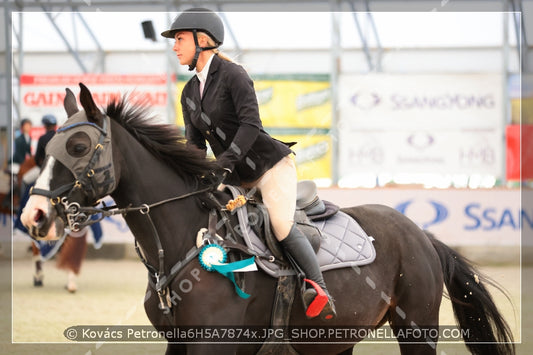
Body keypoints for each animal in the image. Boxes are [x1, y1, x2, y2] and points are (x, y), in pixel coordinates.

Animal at [21, 84, 516, 355]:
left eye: (79, 148)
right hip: (337, 338)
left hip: (417, 329)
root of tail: (422, 235)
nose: (34, 215)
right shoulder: (179, 342)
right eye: (47, 147)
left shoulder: (212, 344)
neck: (179, 245)